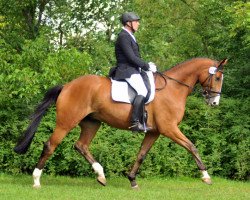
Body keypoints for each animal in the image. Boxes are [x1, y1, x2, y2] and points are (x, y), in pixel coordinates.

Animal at [14, 57, 228, 188]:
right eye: (217, 77)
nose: (215, 103)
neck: (174, 87)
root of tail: (67, 86)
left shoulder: (154, 132)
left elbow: (141, 154)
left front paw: (132, 180)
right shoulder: (169, 128)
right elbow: (191, 146)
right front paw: (206, 177)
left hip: (92, 123)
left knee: (81, 145)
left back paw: (101, 175)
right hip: (66, 122)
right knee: (51, 145)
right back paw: (36, 180)